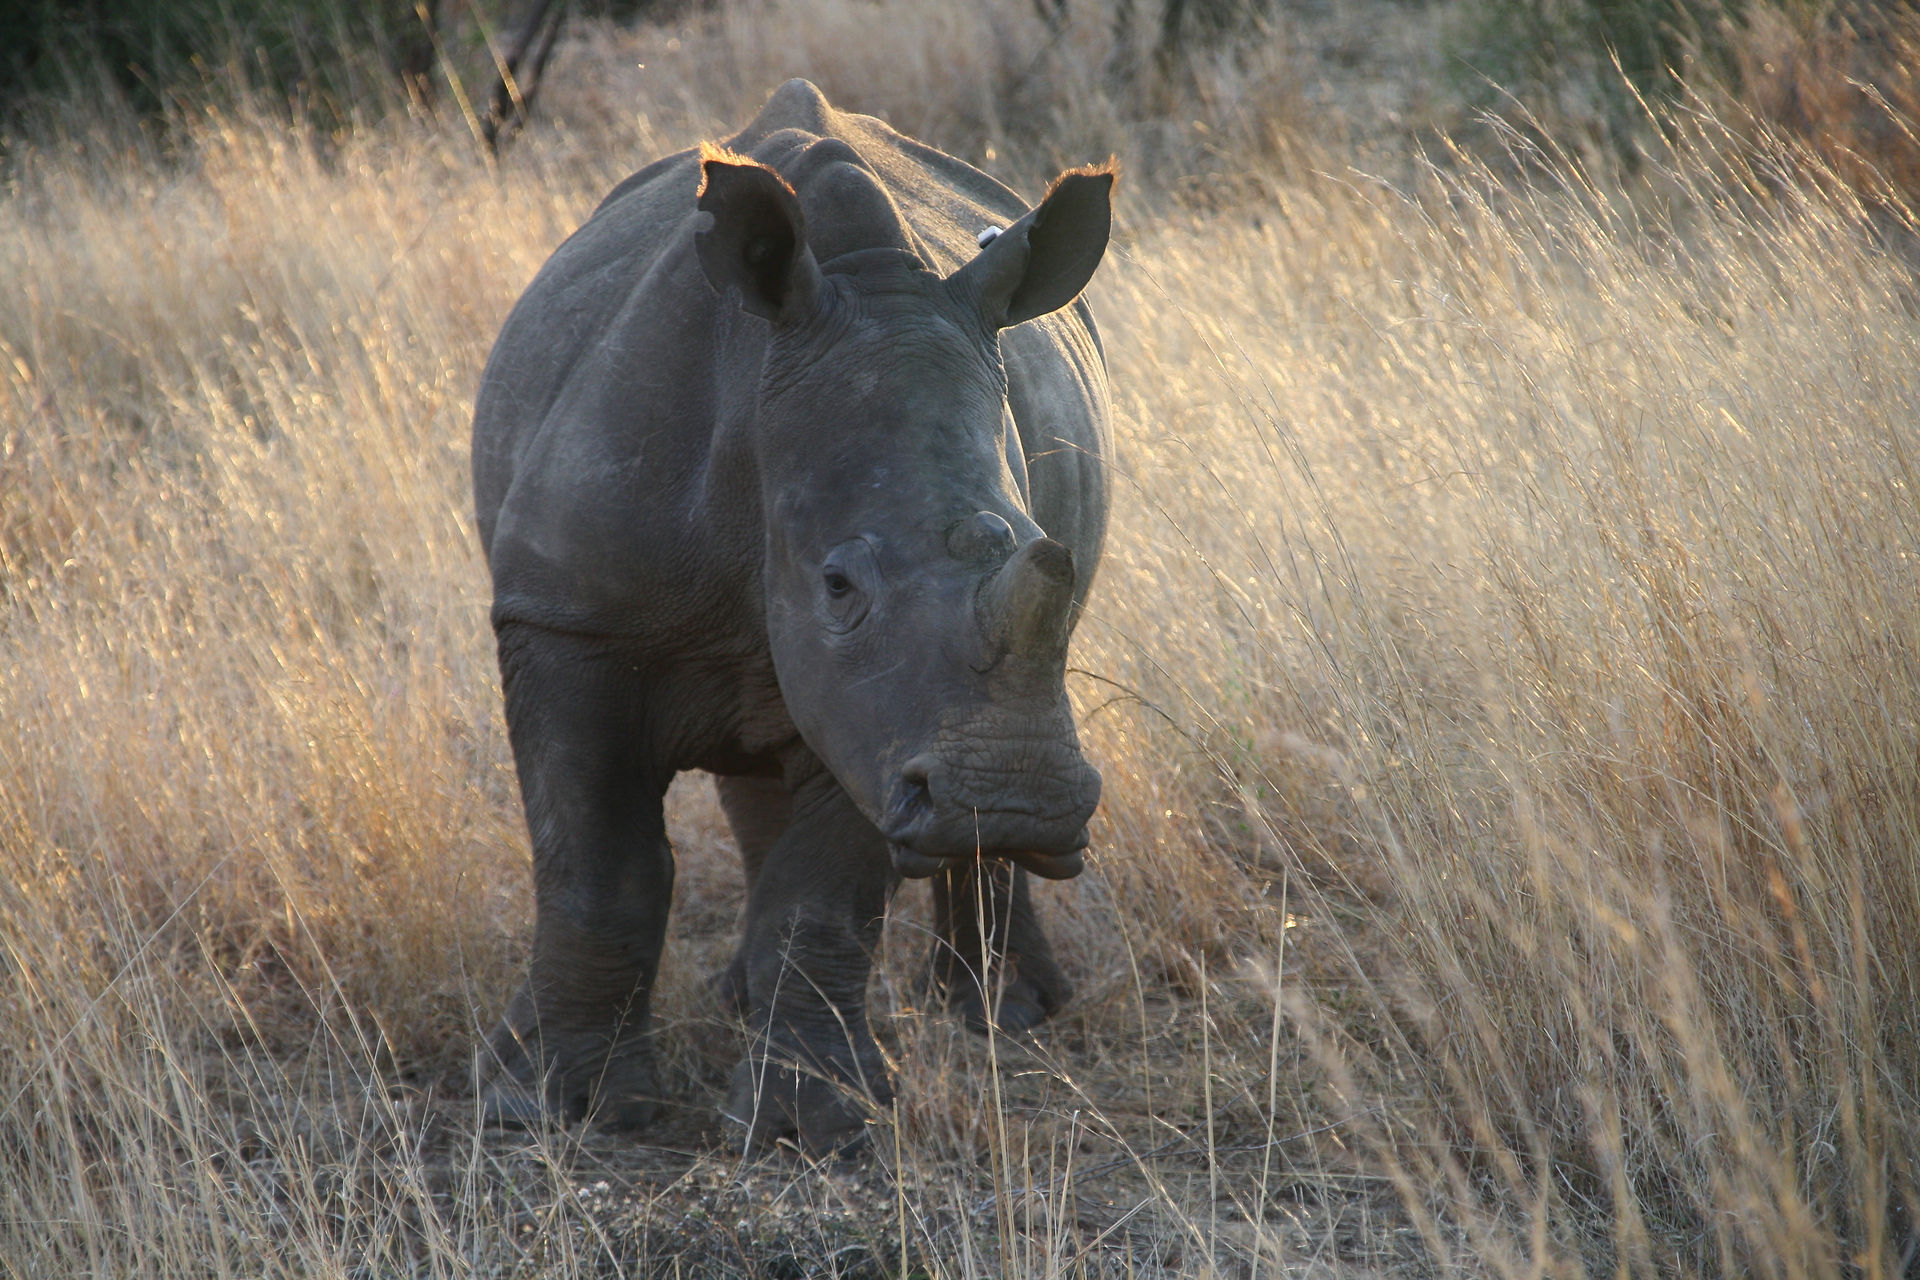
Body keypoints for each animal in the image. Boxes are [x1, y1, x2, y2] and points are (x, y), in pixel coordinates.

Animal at [470, 79, 1114, 1153]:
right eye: (838, 586)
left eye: (1036, 544)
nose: (1015, 799)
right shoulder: (565, 618)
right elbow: (594, 866)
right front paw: (554, 1110)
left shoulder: (886, 719)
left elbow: (825, 894)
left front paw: (806, 1128)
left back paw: (1004, 1016)